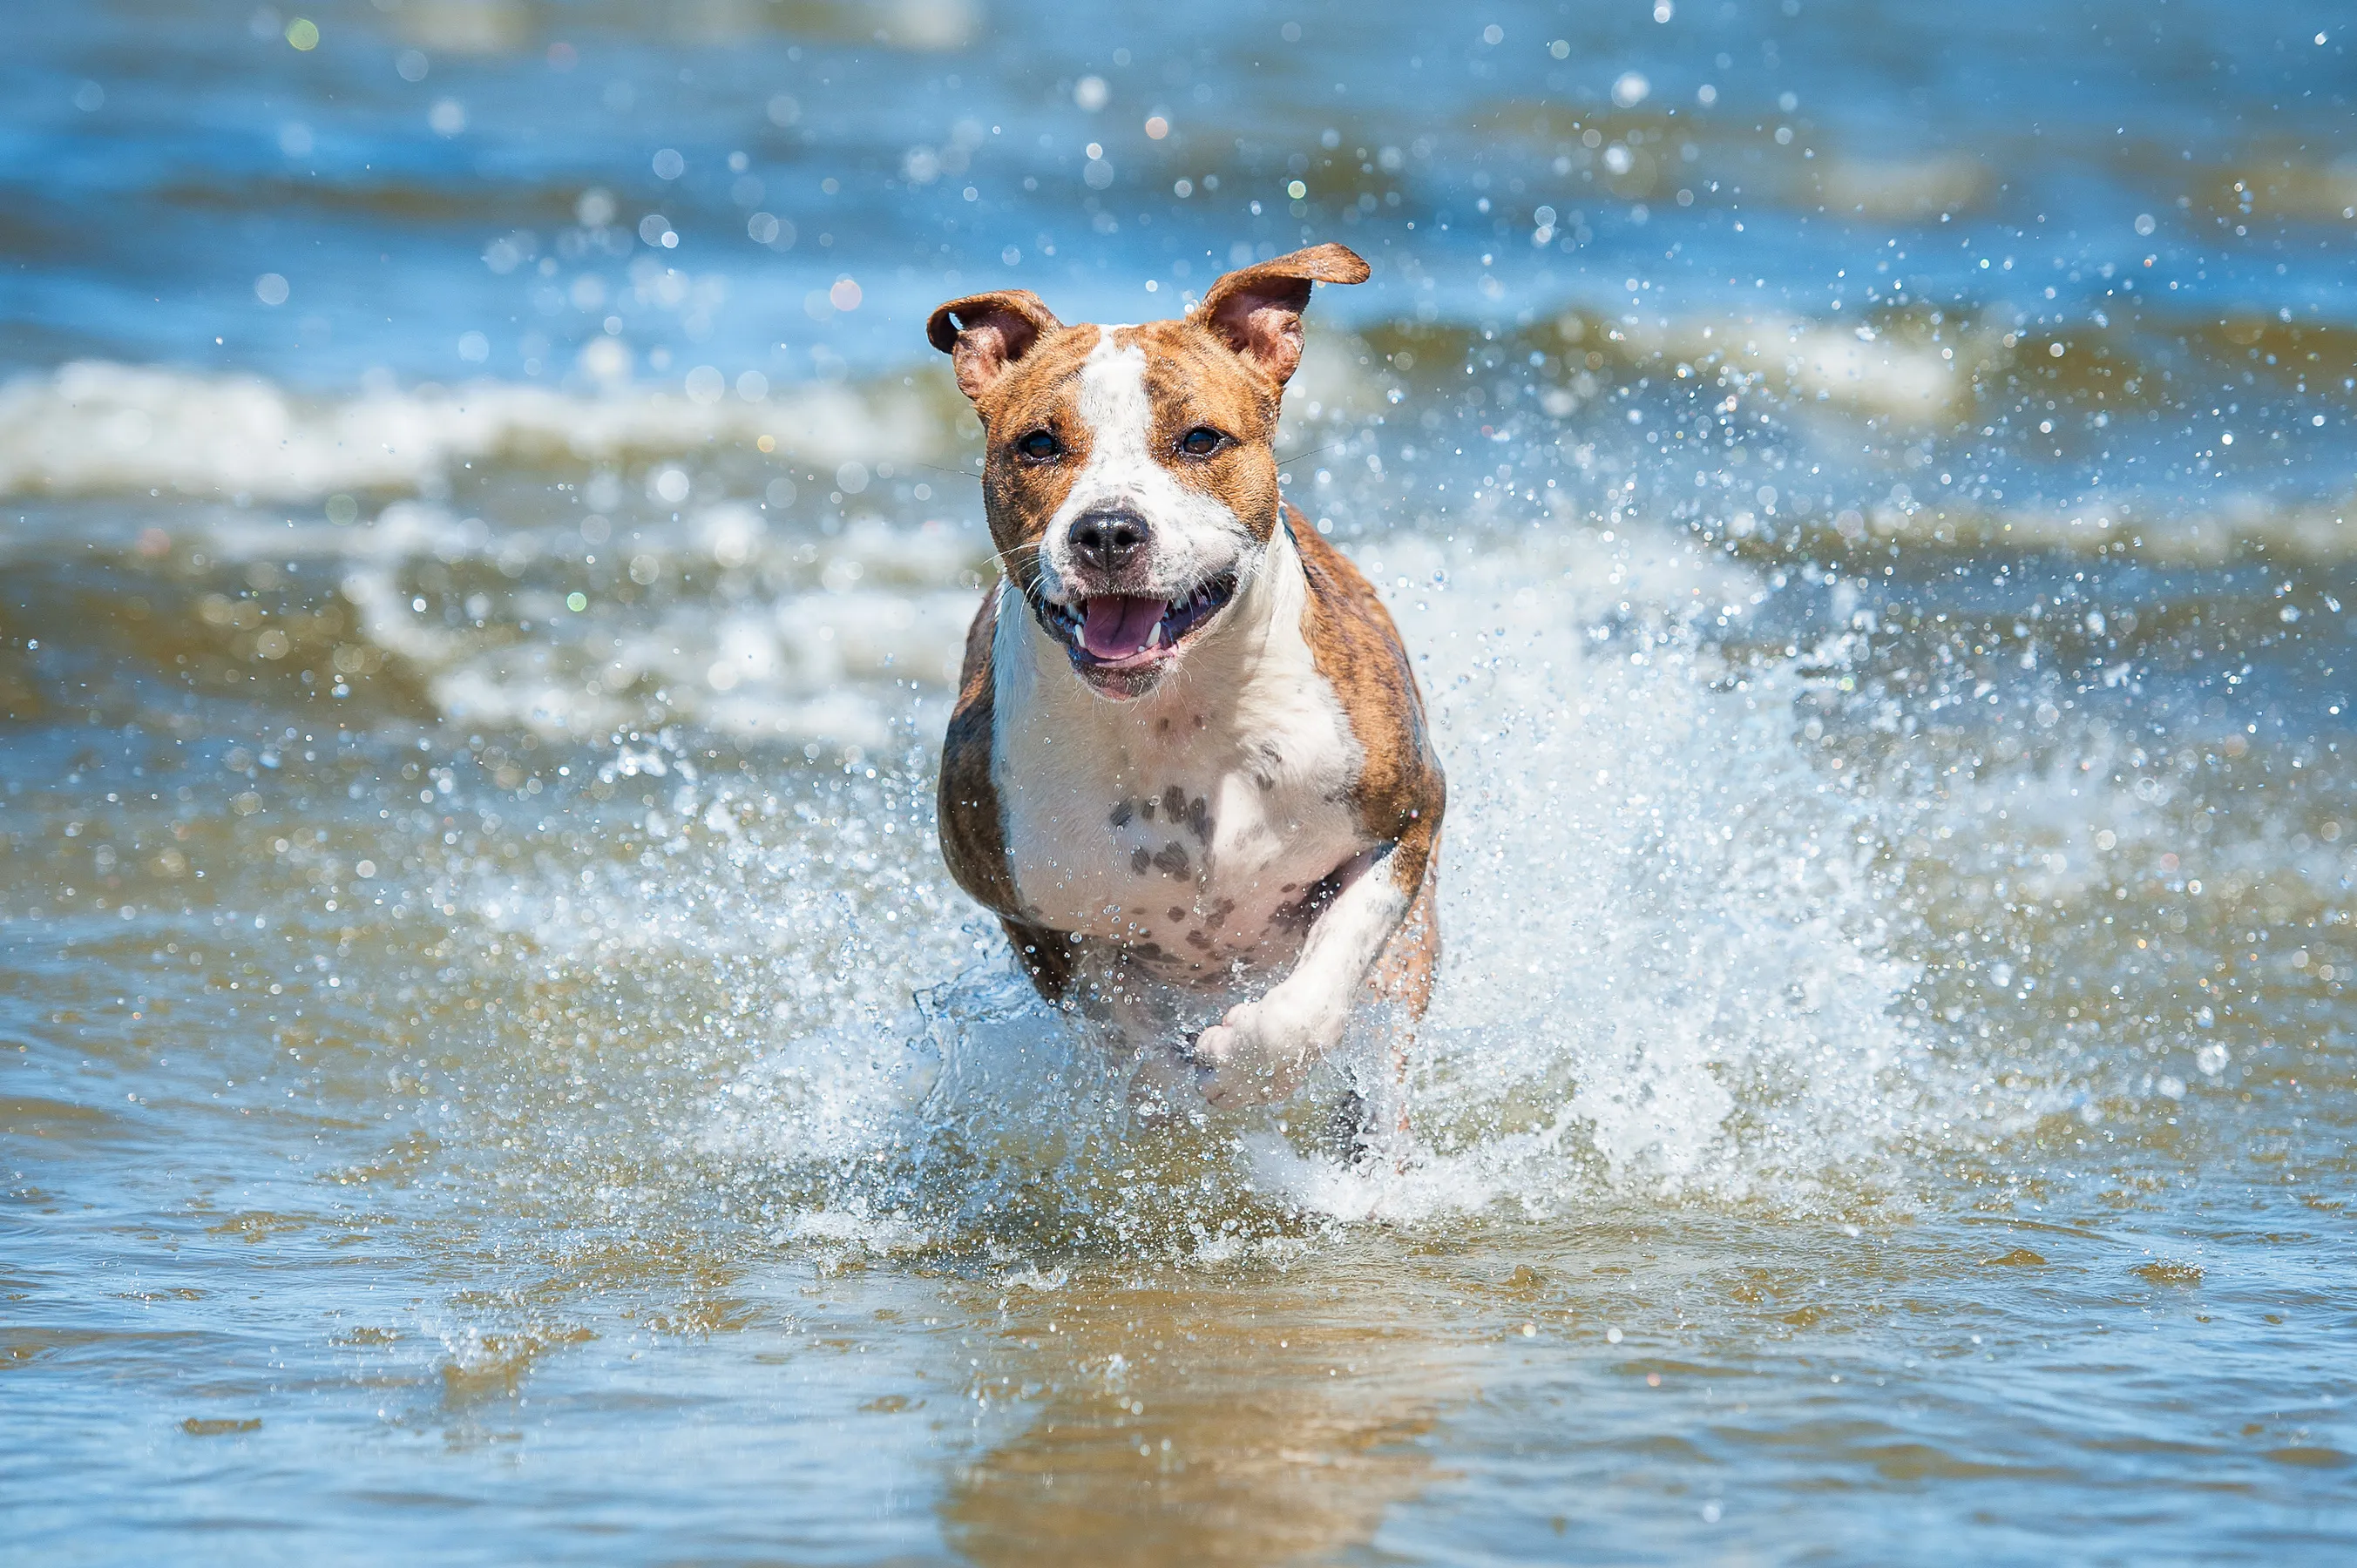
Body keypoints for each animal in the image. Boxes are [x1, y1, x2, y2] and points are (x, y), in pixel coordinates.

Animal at [918, 238, 1432, 1132]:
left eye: (1199, 440)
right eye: (1038, 445)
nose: (1107, 531)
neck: (1174, 720)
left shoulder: (1408, 816)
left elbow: (1319, 988)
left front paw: (1247, 1067)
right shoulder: (1034, 920)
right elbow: (1129, 1047)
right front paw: (1178, 1101)